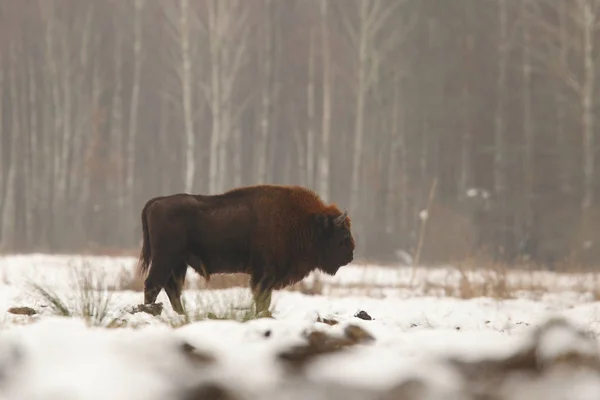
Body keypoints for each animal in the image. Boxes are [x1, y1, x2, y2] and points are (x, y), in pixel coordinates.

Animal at [135, 184, 356, 316]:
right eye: (344, 235)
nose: (351, 255)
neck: (305, 221)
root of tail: (156, 202)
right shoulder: (265, 274)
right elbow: (262, 298)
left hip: (178, 263)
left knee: (172, 288)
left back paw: (182, 315)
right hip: (165, 258)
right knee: (153, 284)